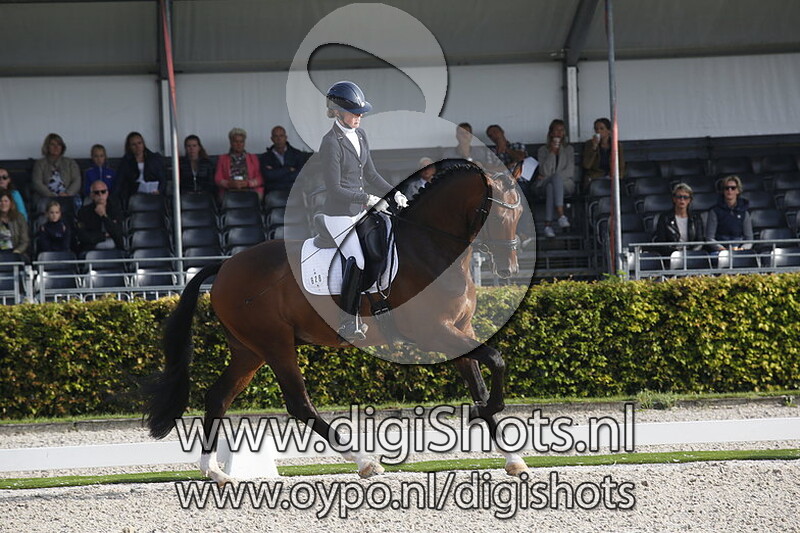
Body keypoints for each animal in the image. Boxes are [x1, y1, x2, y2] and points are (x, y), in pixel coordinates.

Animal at [144, 161, 528, 484]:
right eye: (497, 214)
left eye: (520, 212)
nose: (509, 270)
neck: (430, 244)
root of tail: (225, 266)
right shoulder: (435, 332)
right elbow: (497, 360)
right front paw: (489, 409)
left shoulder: (460, 330)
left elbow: (481, 379)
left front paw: (512, 457)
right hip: (275, 343)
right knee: (299, 404)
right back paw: (365, 462)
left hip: (249, 351)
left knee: (218, 397)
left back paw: (215, 472)